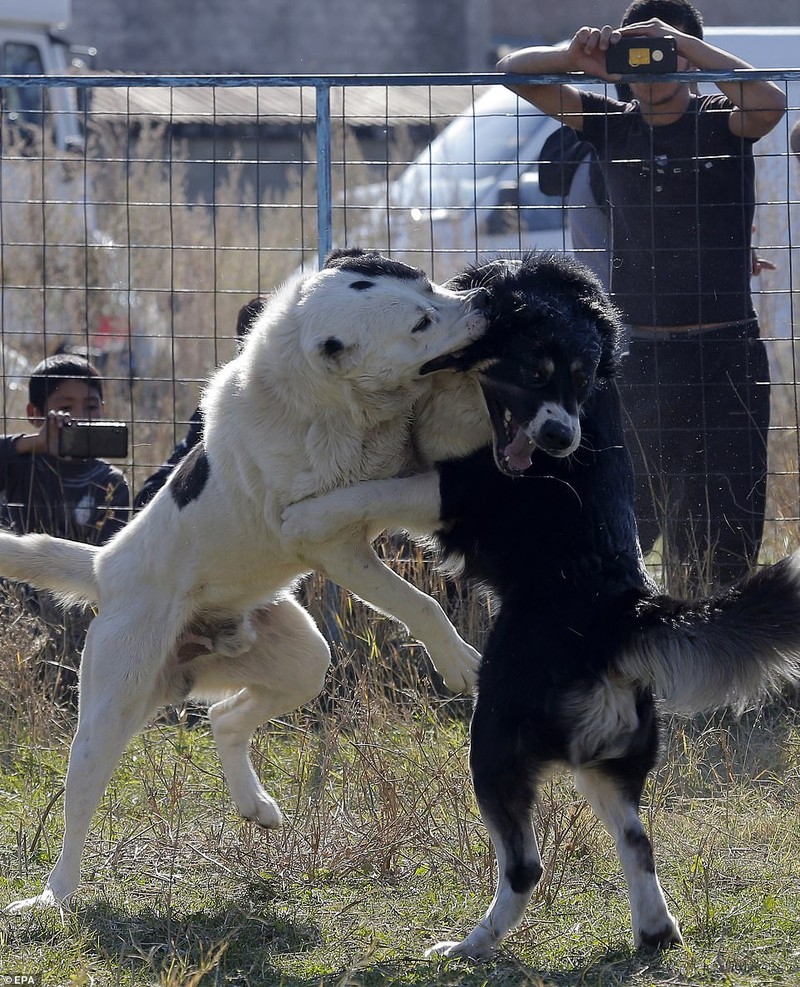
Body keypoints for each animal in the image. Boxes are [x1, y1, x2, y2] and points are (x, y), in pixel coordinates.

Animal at [3, 247, 484, 912]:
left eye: (427, 285)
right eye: (419, 324)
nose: (484, 304)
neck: (329, 403)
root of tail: (107, 566)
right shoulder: (336, 547)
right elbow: (419, 603)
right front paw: (459, 662)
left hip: (301, 659)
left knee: (225, 718)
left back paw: (255, 804)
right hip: (108, 712)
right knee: (79, 808)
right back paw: (56, 896)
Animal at [290, 253, 800, 956]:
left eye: (582, 380)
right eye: (535, 371)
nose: (562, 440)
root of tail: (621, 613)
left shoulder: (466, 487)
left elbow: (368, 493)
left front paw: (307, 512)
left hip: (495, 739)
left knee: (524, 865)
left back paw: (470, 946)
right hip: (606, 762)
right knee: (637, 840)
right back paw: (654, 931)